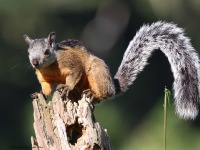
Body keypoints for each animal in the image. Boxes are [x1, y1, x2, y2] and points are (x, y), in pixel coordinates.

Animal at [24, 20, 200, 119]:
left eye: (47, 51)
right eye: (28, 52)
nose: (35, 62)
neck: (49, 67)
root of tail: (113, 86)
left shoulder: (73, 63)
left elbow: (75, 74)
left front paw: (66, 86)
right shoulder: (44, 78)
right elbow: (46, 87)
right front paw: (40, 94)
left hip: (97, 71)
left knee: (103, 94)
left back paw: (92, 93)